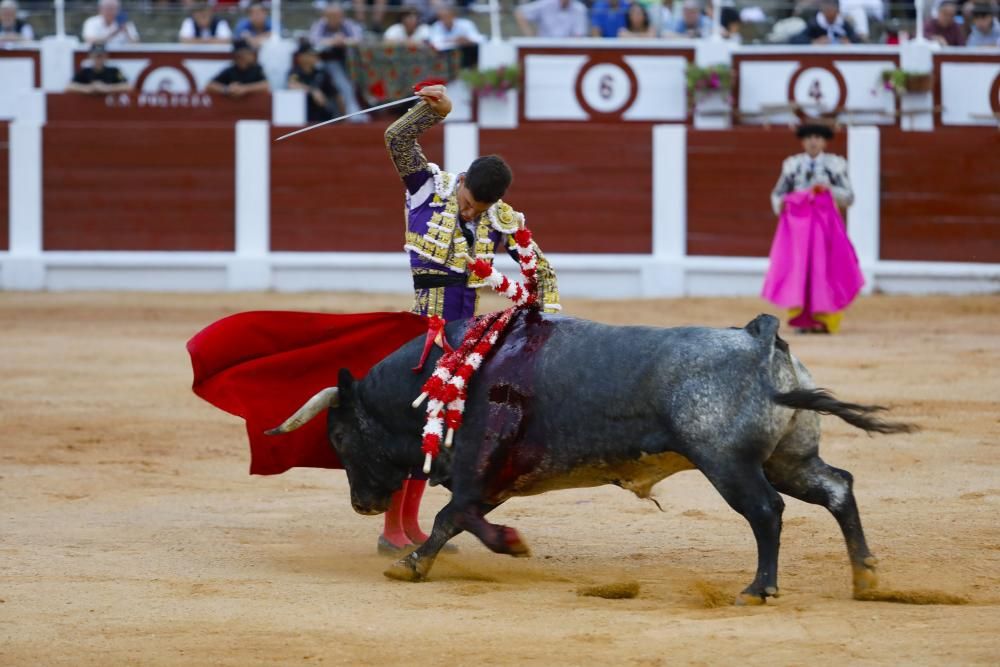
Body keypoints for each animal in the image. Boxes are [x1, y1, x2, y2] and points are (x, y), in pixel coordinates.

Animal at [266, 312, 916, 604]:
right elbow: (466, 517)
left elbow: (452, 516)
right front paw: (505, 543)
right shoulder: (497, 477)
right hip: (789, 458)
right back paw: (865, 575)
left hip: (726, 464)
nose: (360, 503)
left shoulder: (476, 468)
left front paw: (416, 563)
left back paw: (759, 588)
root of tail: (760, 337)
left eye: (339, 437)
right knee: (836, 487)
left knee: (766, 512)